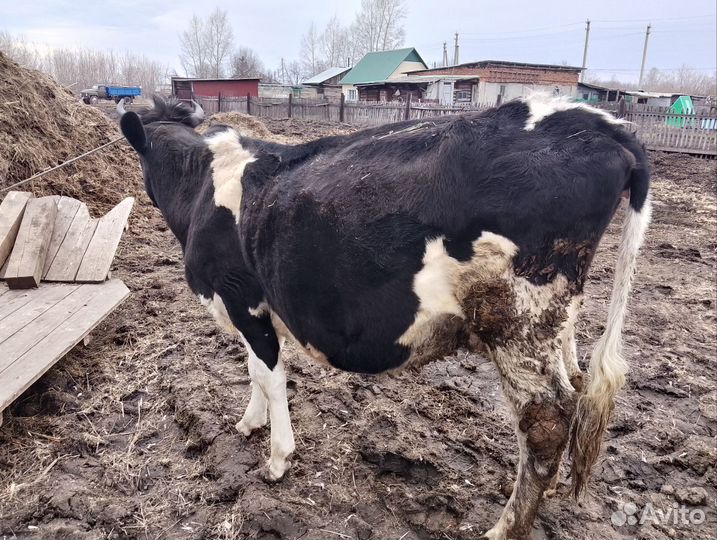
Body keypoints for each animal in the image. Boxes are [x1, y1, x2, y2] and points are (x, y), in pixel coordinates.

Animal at [117, 95, 650, 540]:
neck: (202, 190)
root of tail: (598, 121)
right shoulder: (255, 313)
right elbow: (254, 371)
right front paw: (249, 424)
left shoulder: (240, 300)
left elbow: (269, 377)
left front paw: (277, 458)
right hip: (557, 322)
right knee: (575, 388)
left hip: (519, 318)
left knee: (547, 419)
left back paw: (504, 529)